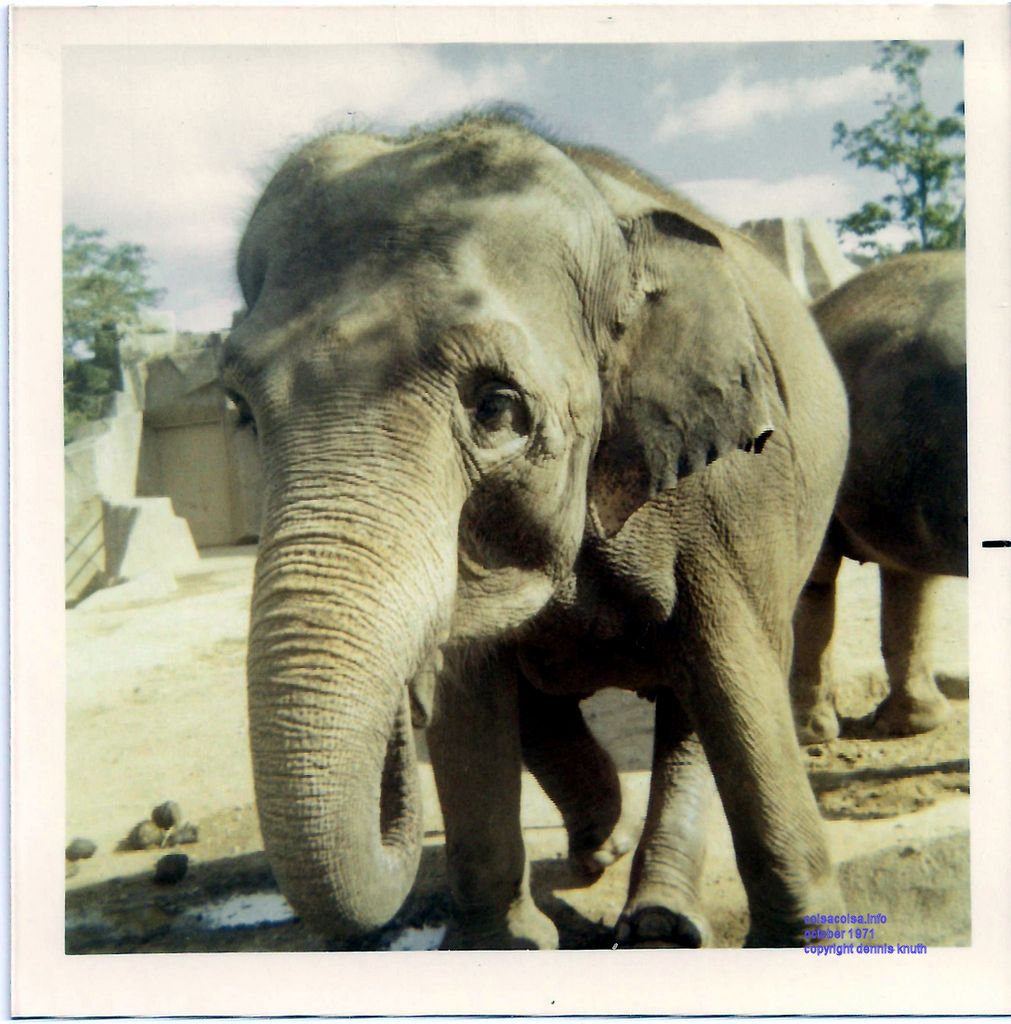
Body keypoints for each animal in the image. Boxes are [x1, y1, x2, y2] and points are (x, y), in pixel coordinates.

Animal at [219, 113, 850, 950]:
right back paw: (604, 848)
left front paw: (809, 938)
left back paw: (659, 922)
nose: (398, 724)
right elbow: (471, 702)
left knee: (691, 702)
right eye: (239, 411)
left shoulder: (731, 484)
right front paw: (494, 943)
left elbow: (735, 672)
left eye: (496, 407)